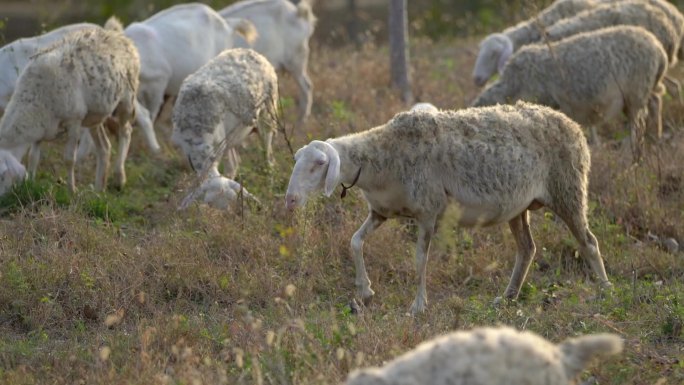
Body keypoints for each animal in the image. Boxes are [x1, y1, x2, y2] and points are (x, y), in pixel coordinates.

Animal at [0, 24, 140, 192]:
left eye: (1, 176)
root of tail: (118, 36)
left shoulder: (74, 120)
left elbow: (69, 159)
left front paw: (71, 190)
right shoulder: (42, 127)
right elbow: (33, 158)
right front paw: (32, 184)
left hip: (127, 99)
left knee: (126, 131)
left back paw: (119, 177)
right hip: (94, 115)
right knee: (104, 147)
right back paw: (99, 189)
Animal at [172, 48, 280, 206]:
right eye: (209, 204)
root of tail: (252, 52)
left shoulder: (219, 145)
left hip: (267, 116)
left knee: (269, 158)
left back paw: (270, 183)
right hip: (231, 137)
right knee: (235, 163)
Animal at [286, 100, 612, 314]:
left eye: (319, 164)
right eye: (297, 160)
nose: (290, 200)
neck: (381, 160)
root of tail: (572, 124)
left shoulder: (428, 211)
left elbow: (420, 259)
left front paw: (418, 306)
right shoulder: (381, 212)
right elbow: (355, 241)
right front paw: (365, 290)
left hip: (568, 189)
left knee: (589, 242)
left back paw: (605, 291)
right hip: (518, 206)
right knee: (527, 249)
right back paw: (508, 297)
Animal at [472, 25, 664, 152]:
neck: (513, 84)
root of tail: (657, 46)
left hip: (636, 93)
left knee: (637, 127)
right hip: (644, 90)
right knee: (654, 104)